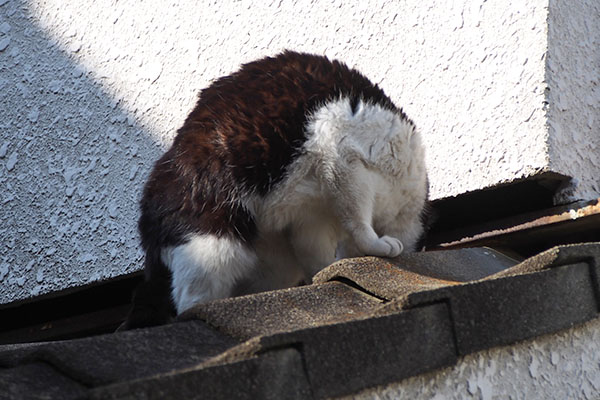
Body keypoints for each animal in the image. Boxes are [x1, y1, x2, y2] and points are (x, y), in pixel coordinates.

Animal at [118, 50, 426, 330]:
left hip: (273, 261)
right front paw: (377, 244)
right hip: (216, 234)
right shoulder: (342, 149)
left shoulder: (312, 222)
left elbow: (318, 255)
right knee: (191, 298)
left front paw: (325, 272)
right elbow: (359, 220)